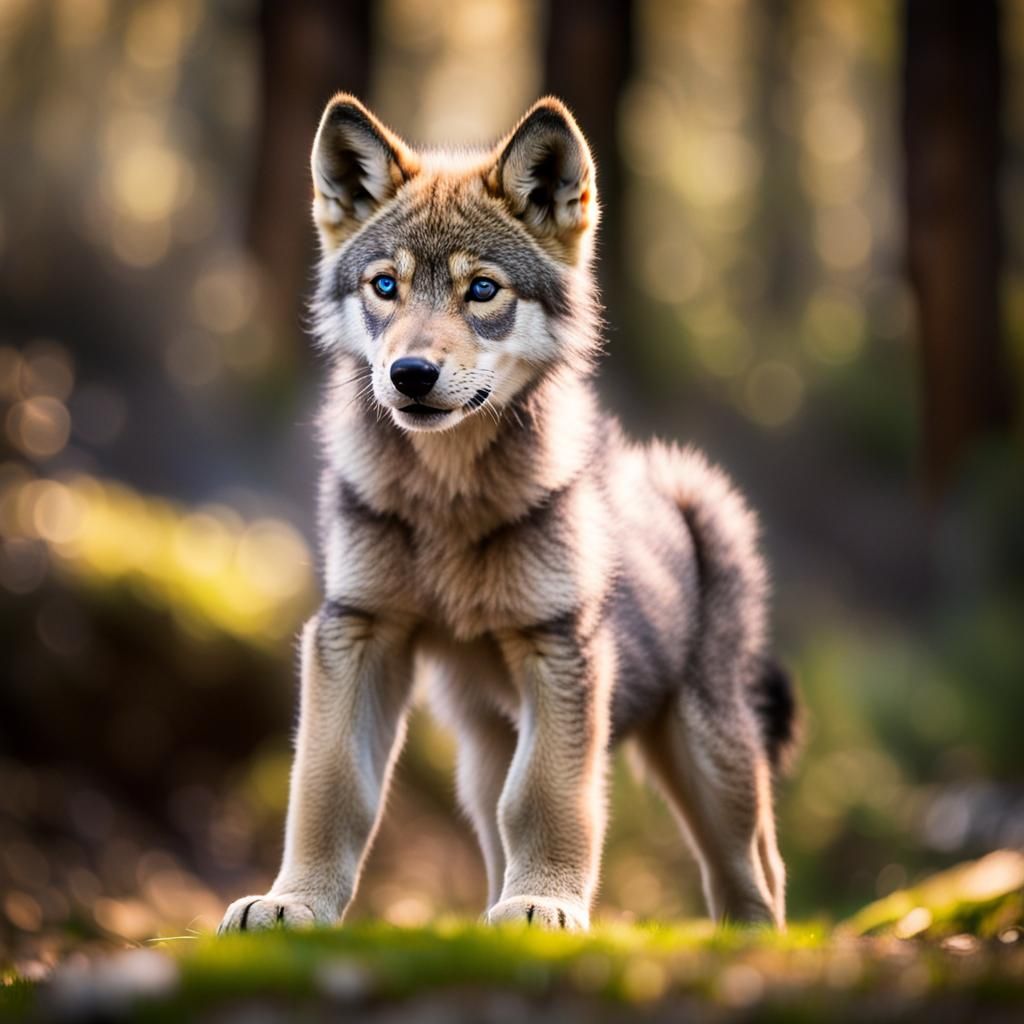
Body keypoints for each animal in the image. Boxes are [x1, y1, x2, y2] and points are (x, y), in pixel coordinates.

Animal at [219, 95, 797, 933]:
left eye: (483, 291)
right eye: (385, 286)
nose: (410, 373)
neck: (450, 499)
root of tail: (673, 488)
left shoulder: (558, 651)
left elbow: (547, 798)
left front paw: (544, 903)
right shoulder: (356, 631)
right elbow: (329, 788)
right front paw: (293, 902)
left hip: (708, 757)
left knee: (754, 871)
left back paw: (752, 942)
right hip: (484, 749)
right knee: (496, 827)